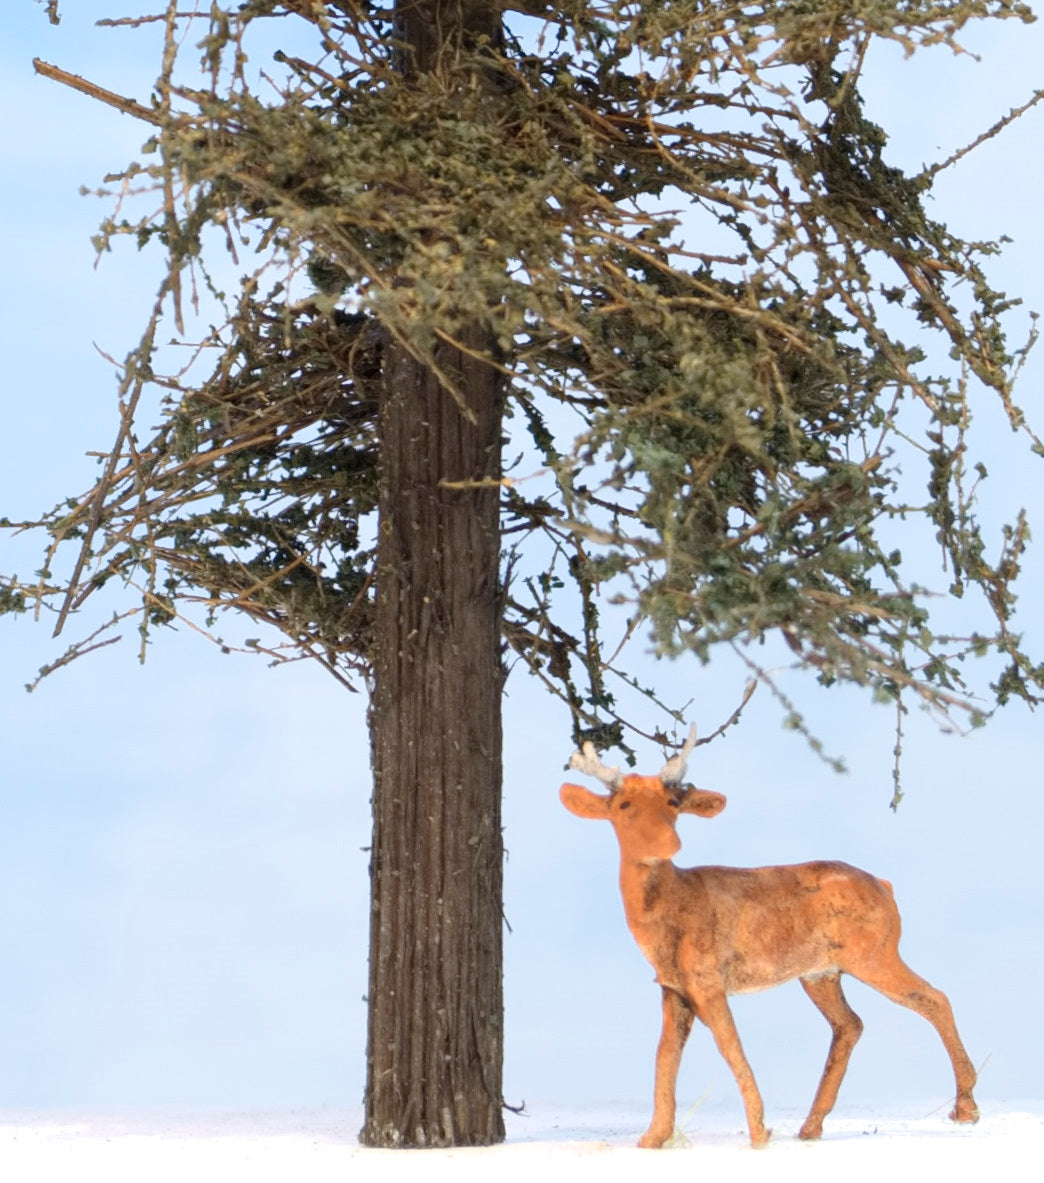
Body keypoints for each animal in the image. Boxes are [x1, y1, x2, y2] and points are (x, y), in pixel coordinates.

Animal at [559, 725, 979, 1149]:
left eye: (673, 802)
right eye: (624, 804)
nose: (668, 843)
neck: (666, 921)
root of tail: (886, 887)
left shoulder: (708, 978)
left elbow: (730, 1046)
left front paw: (759, 1132)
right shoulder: (673, 987)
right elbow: (665, 1056)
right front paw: (653, 1137)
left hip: (873, 953)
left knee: (934, 998)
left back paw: (966, 1108)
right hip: (820, 972)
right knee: (850, 1024)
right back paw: (811, 1127)